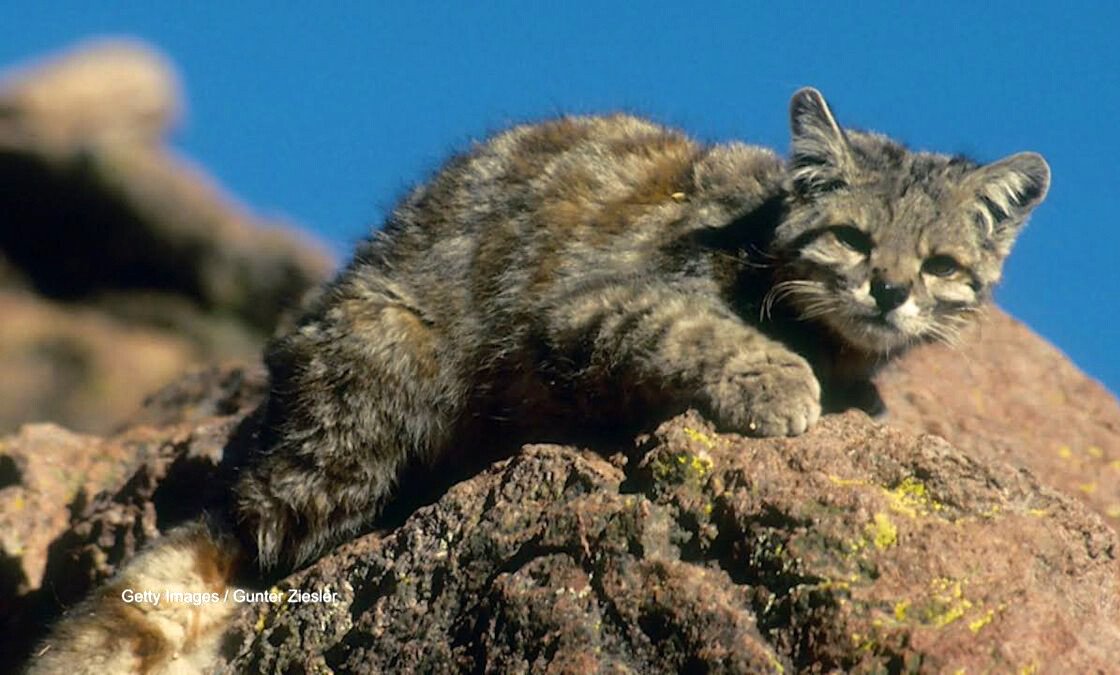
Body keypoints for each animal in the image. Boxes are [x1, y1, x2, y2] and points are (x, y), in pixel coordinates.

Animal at [30, 88, 1043, 671]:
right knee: (255, 535)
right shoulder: (586, 309)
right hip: (369, 400)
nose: (892, 289)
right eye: (852, 238)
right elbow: (698, 329)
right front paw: (784, 382)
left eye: (943, 263)